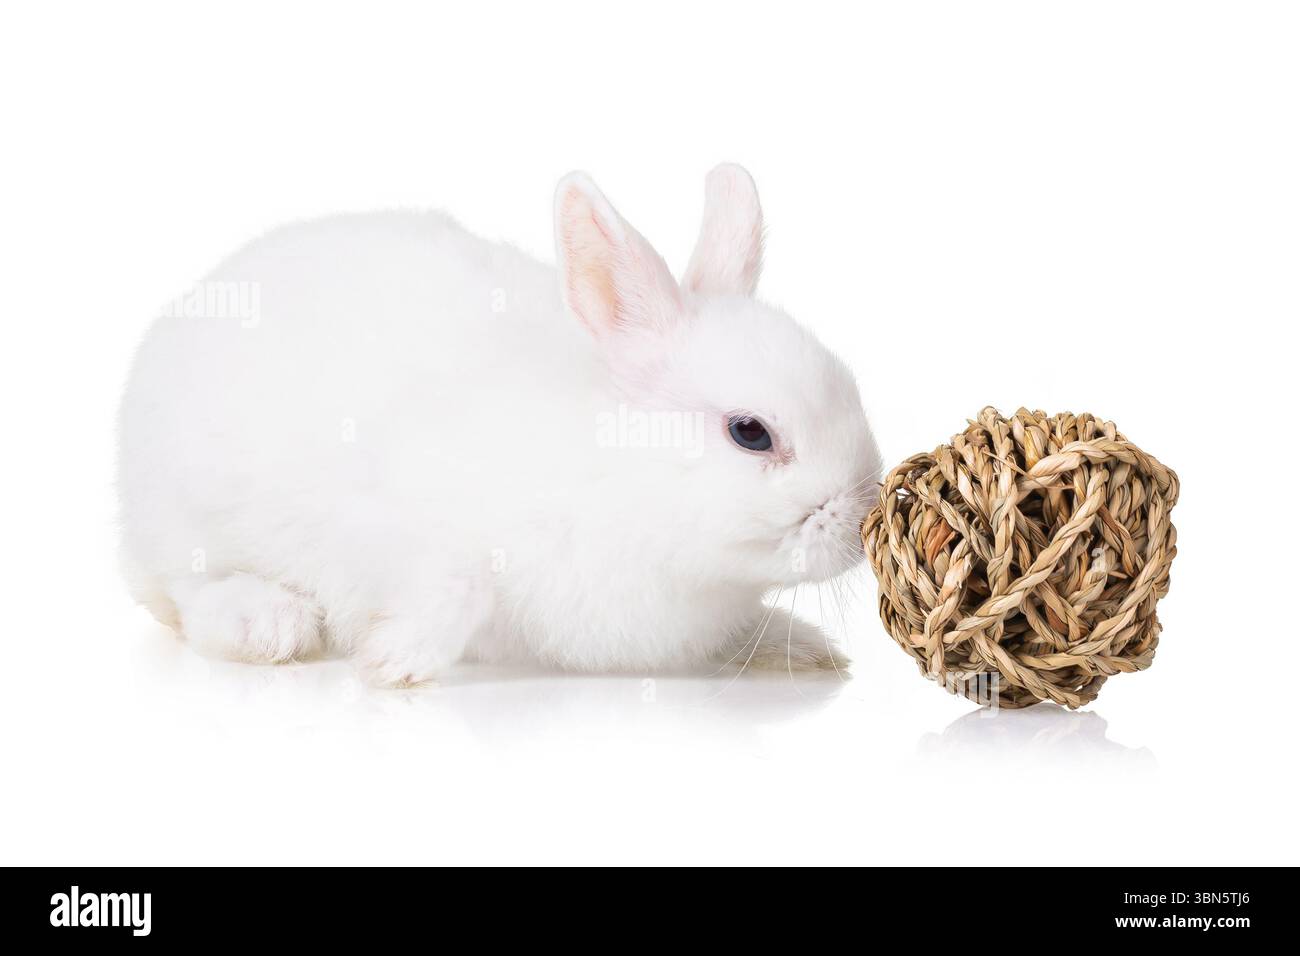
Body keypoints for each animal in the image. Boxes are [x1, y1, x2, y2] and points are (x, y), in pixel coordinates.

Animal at [117, 165, 882, 685]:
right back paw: (267, 623)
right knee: (187, 595)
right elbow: (463, 584)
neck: (619, 475)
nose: (858, 527)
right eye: (750, 432)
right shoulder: (391, 520)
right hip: (188, 518)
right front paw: (393, 661)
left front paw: (801, 645)